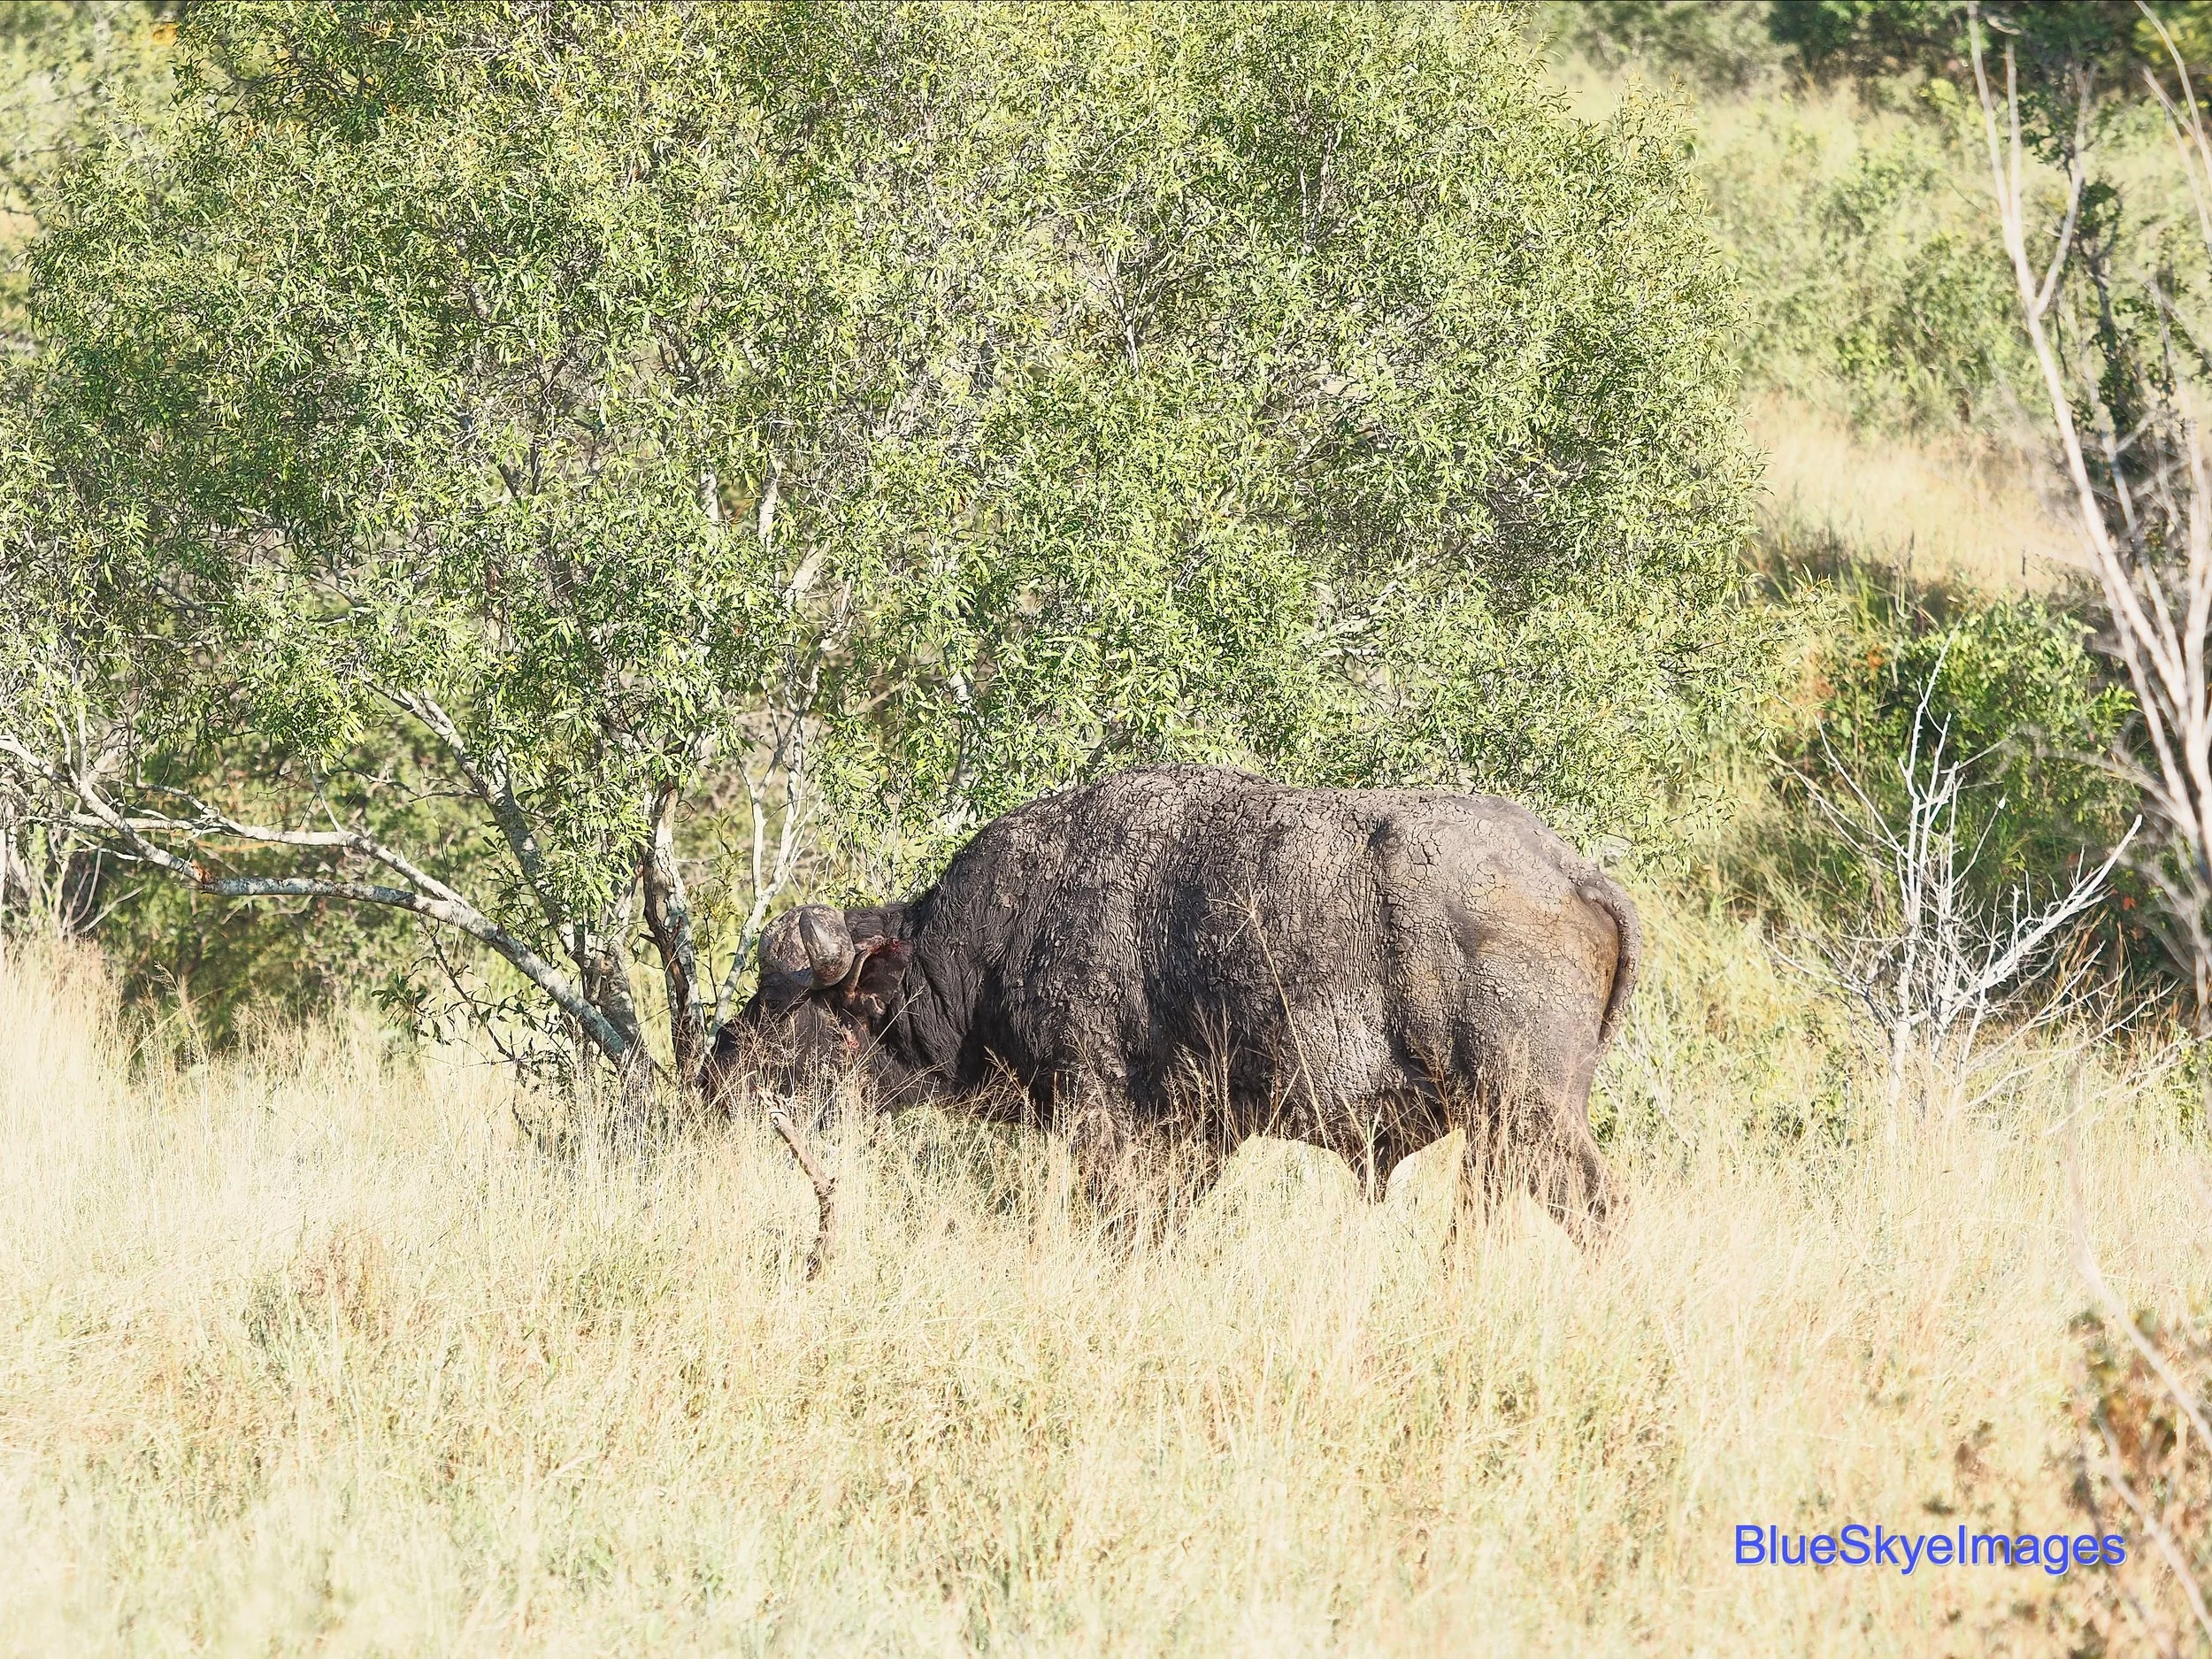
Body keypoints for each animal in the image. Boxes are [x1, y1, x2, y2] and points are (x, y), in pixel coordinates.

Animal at [717, 765, 1639, 1252]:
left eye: (793, 1006)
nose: (717, 1066)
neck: (994, 940)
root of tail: (1576, 873)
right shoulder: (1194, 1137)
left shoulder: (1101, 1114)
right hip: (1498, 1136)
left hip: (1533, 1116)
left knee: (1601, 1209)